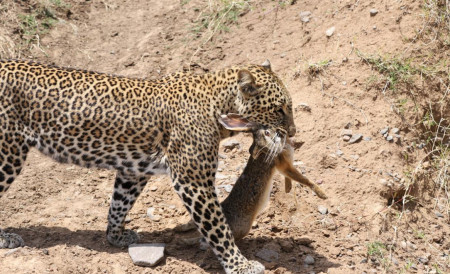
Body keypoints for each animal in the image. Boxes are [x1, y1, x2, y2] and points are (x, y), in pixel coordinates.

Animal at [0, 58, 296, 272]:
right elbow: (218, 228)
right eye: (280, 109)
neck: (216, 103)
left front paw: (115, 236)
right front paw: (240, 265)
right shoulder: (193, 181)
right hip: (8, 152)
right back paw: (6, 238)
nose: (293, 131)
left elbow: (119, 204)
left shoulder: (134, 170)